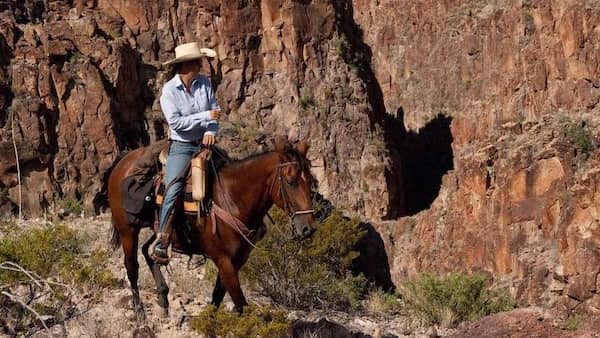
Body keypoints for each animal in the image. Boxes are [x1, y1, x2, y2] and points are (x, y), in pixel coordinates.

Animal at [108, 138, 316, 320]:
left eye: (311, 180)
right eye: (290, 181)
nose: (308, 229)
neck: (232, 199)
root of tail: (123, 161)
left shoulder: (237, 260)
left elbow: (217, 297)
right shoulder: (224, 261)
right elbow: (241, 305)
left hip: (156, 229)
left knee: (148, 251)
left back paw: (163, 298)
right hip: (128, 231)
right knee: (132, 267)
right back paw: (140, 312)